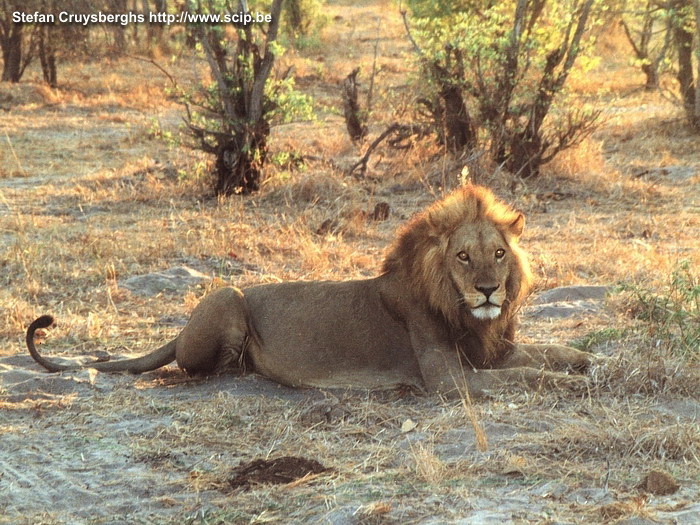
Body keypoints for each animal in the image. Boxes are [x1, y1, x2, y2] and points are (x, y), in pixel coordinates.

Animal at [24, 184, 592, 398]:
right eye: (463, 257)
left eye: (498, 254)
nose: (489, 290)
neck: (469, 314)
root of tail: (179, 330)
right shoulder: (449, 380)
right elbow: (526, 376)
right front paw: (564, 382)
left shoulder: (491, 350)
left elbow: (547, 351)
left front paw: (585, 360)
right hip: (229, 295)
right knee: (202, 368)